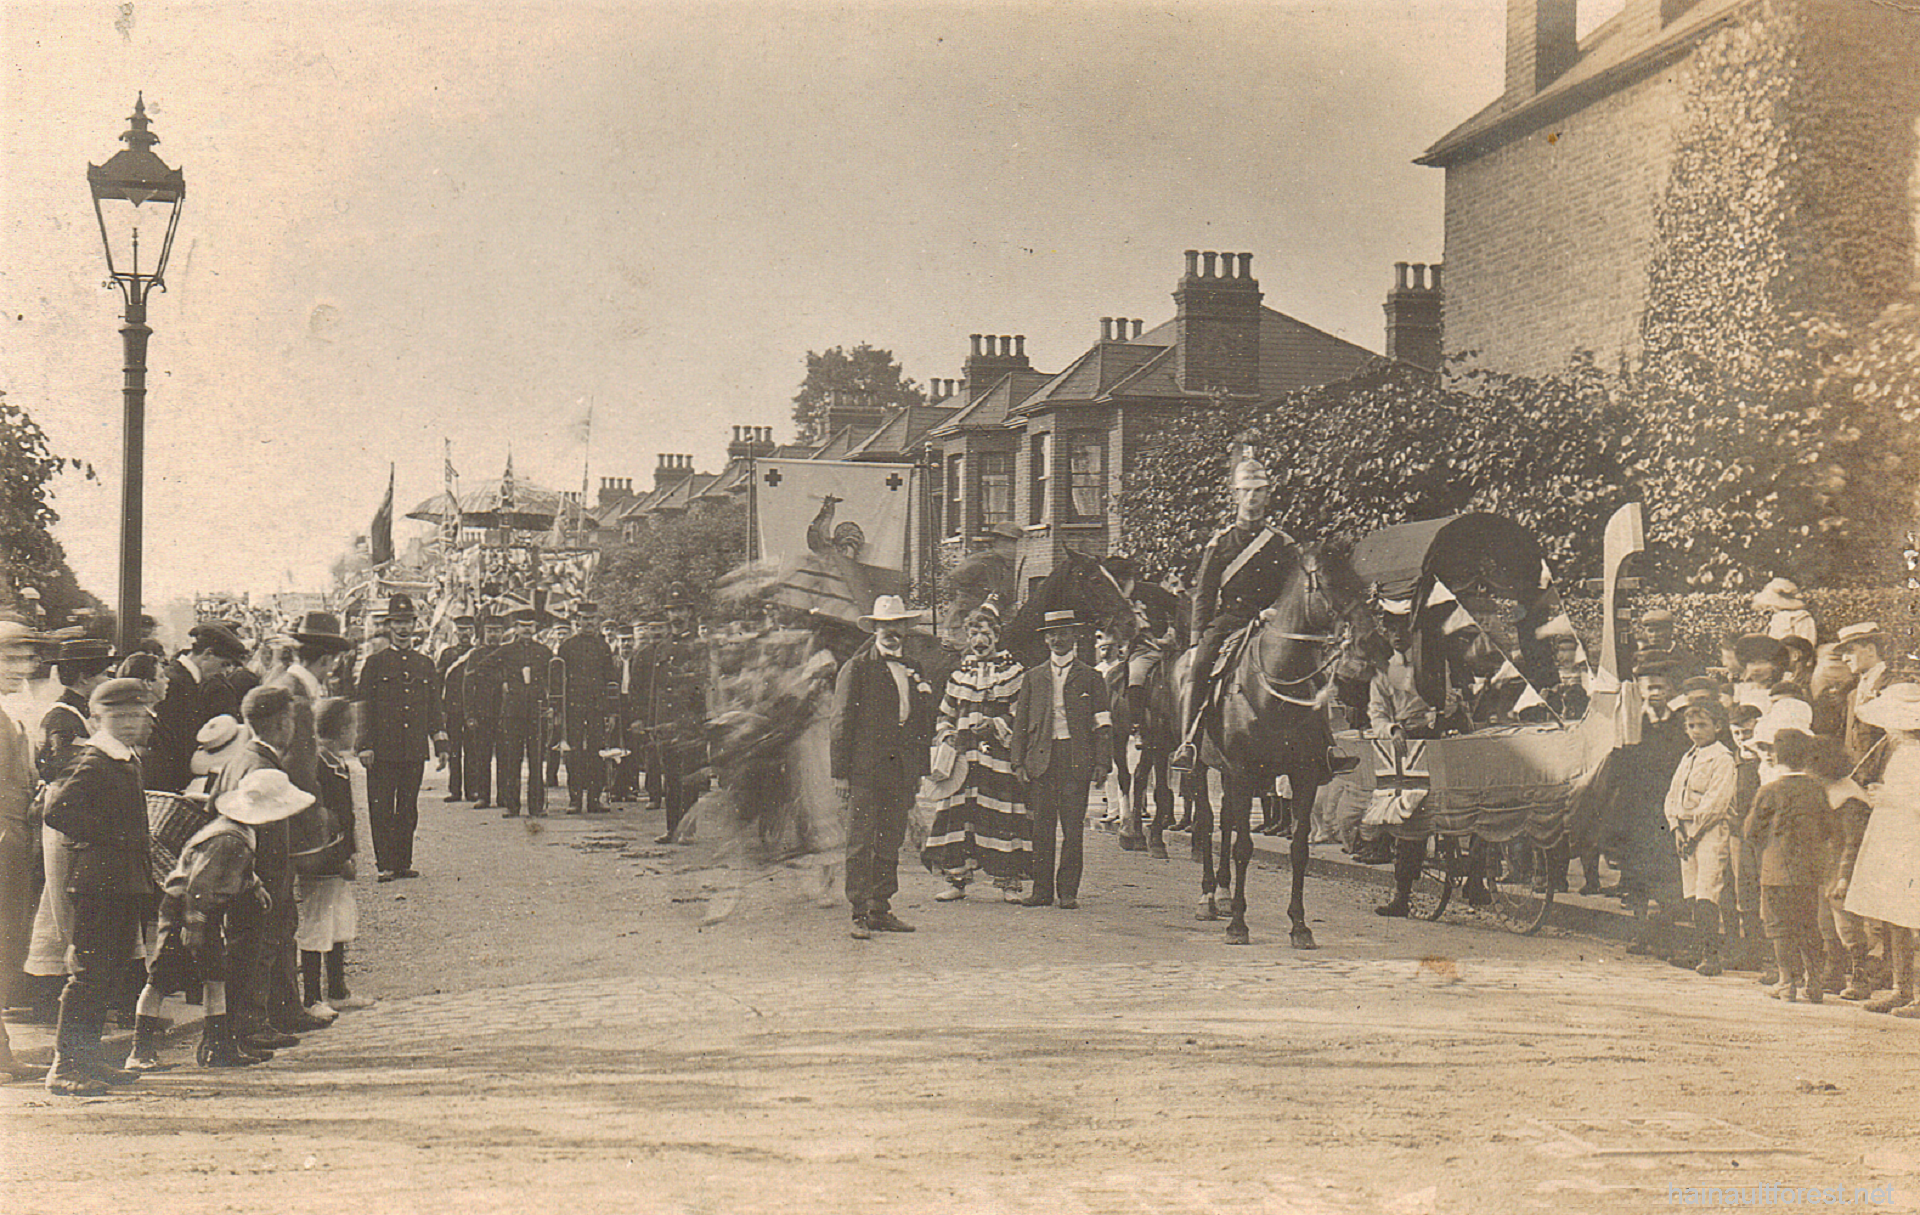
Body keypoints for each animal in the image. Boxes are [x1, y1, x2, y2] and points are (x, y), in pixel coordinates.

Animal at [1167, 541, 1382, 948]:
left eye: (1359, 581)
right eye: (1327, 583)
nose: (1370, 640)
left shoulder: (1303, 776)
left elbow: (1298, 849)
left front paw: (1299, 925)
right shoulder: (1243, 772)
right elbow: (1243, 847)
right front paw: (1238, 924)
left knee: (1227, 823)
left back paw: (1223, 893)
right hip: (1202, 768)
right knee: (1206, 822)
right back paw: (1208, 898)